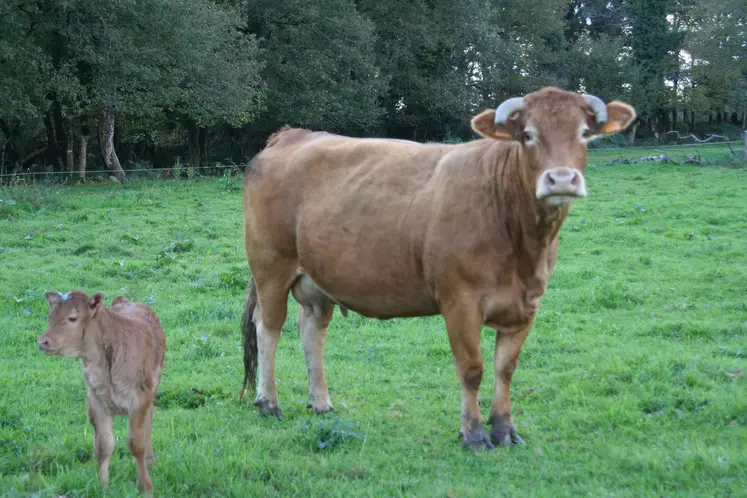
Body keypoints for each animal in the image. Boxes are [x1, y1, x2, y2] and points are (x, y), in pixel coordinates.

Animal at [37, 290, 167, 492]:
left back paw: (150, 460)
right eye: (50, 317)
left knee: (149, 421)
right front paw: (103, 485)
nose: (42, 341)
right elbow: (103, 445)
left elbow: (136, 444)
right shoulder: (96, 402)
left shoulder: (139, 400)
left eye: (72, 318)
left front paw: (145, 486)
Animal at [240, 87, 636, 450]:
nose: (562, 179)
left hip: (318, 279)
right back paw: (268, 402)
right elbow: (472, 369)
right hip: (271, 266)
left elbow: (505, 368)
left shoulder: (527, 304)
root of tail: (292, 134)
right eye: (527, 134)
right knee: (269, 328)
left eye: (584, 133)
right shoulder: (459, 301)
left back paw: (320, 402)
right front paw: (473, 433)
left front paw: (504, 429)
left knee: (311, 330)